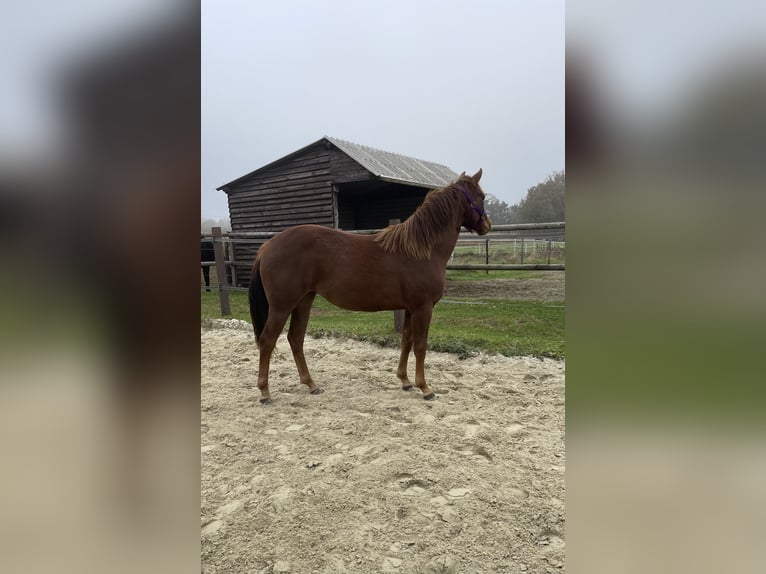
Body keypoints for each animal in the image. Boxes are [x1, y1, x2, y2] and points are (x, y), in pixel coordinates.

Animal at [250, 170, 492, 404]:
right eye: (482, 196)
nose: (487, 226)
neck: (423, 250)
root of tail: (268, 245)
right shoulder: (423, 308)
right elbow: (421, 346)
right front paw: (425, 388)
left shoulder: (409, 308)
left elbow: (406, 341)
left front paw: (405, 381)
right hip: (282, 306)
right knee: (267, 340)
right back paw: (264, 392)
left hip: (303, 301)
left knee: (295, 339)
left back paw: (311, 384)